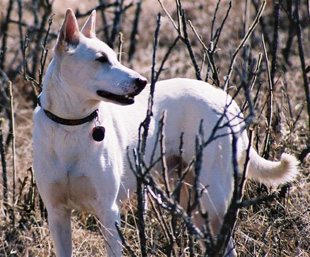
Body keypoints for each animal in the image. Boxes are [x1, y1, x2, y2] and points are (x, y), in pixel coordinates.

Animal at [32, 8, 300, 256]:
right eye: (100, 59)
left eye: (114, 58)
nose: (141, 82)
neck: (71, 124)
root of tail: (227, 100)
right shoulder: (57, 214)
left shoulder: (108, 211)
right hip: (187, 193)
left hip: (212, 198)